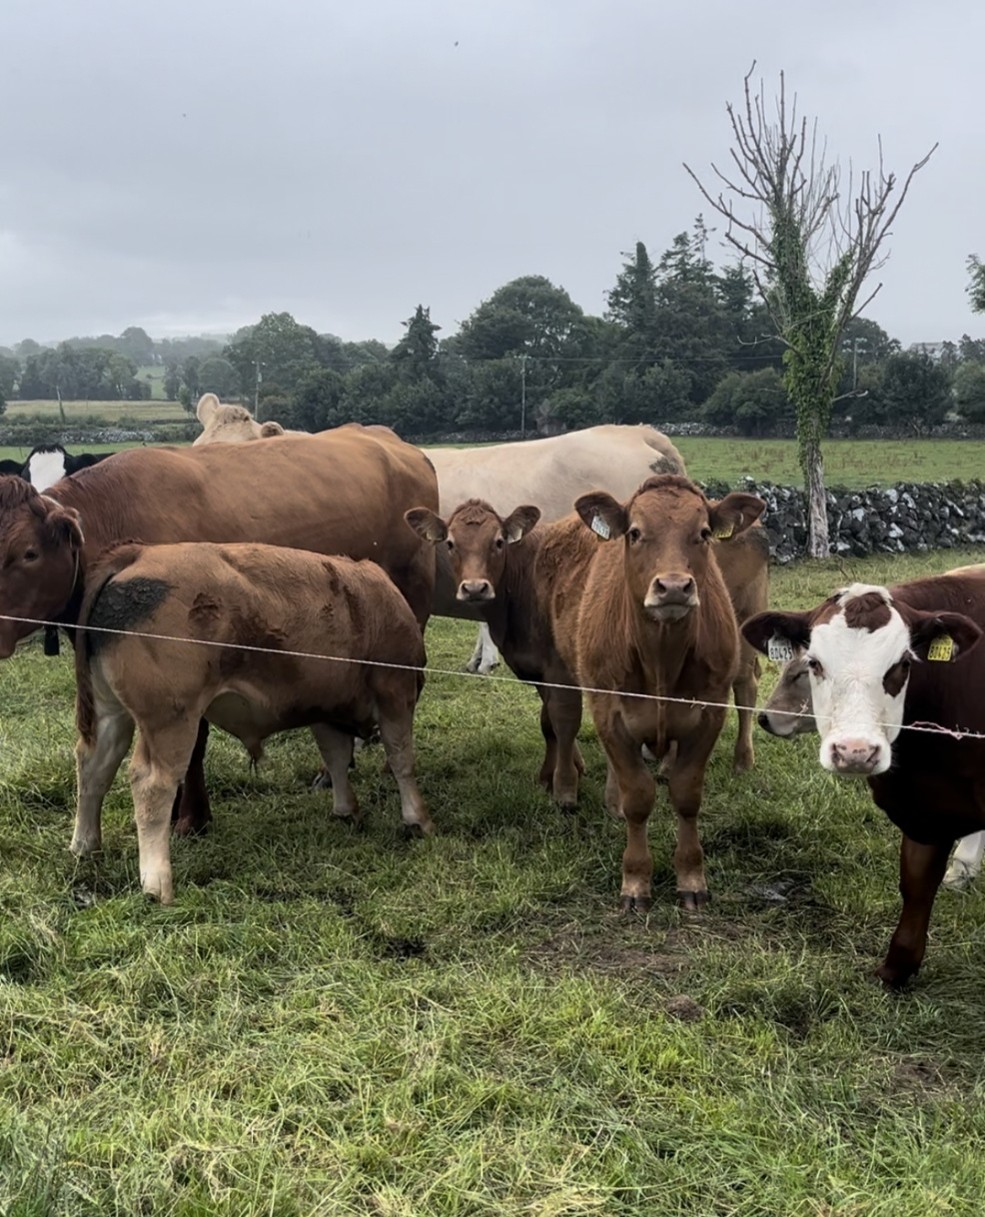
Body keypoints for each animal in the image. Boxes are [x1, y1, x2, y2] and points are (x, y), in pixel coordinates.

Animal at [70, 542, 431, 904]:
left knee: (94, 767)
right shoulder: (395, 693)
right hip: (171, 721)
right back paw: (157, 883)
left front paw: (346, 810)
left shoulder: (325, 708)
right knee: (152, 784)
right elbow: (401, 759)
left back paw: (85, 846)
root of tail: (139, 554)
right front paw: (417, 819)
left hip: (110, 713)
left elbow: (336, 758)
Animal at [408, 475, 765, 909]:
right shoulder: (561, 677)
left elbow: (565, 724)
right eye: (450, 543)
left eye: (498, 542)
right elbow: (555, 727)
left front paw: (566, 788)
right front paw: (562, 776)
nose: (475, 588)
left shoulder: (565, 671)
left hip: (747, 630)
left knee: (746, 690)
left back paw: (743, 760)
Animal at [742, 577, 985, 987]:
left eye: (903, 664)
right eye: (815, 663)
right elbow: (916, 882)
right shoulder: (922, 808)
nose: (855, 751)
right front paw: (897, 968)